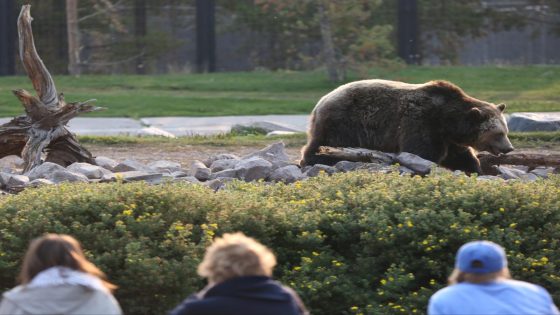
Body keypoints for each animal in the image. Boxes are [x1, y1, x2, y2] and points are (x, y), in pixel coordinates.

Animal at [300, 78, 516, 173]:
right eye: (498, 133)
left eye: (506, 131)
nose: (509, 148)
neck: (448, 120)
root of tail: (320, 102)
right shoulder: (422, 121)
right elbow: (421, 151)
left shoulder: (448, 137)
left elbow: (458, 156)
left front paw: (475, 169)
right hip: (344, 122)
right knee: (325, 143)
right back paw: (315, 159)